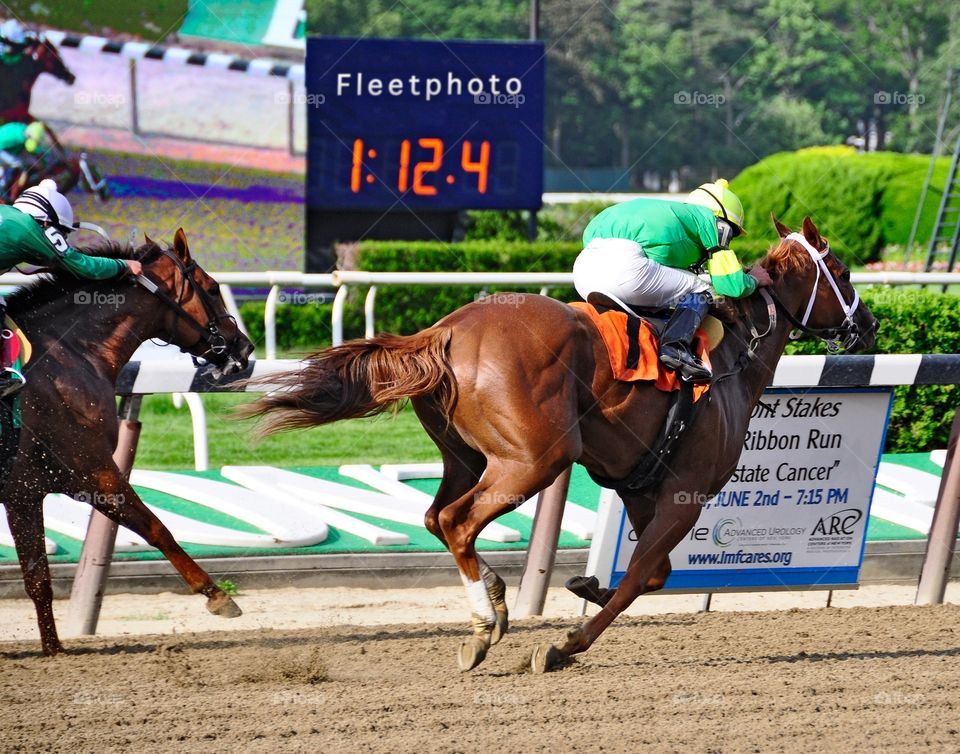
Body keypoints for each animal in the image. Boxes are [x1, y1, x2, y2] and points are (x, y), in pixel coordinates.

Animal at [1, 228, 255, 652]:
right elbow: (157, 528)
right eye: (212, 288)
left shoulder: (24, 492)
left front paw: (54, 650)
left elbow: (37, 580)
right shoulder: (92, 472)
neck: (67, 354)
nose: (245, 348)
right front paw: (217, 595)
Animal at [240, 217, 876, 668]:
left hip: (465, 455)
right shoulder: (686, 494)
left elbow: (654, 573)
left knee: (434, 515)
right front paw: (566, 643)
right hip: (535, 459)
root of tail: (446, 330)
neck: (732, 356)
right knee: (457, 522)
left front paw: (583, 582)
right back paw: (482, 627)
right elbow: (641, 577)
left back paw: (496, 599)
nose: (868, 325)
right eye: (843, 273)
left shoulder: (643, 488)